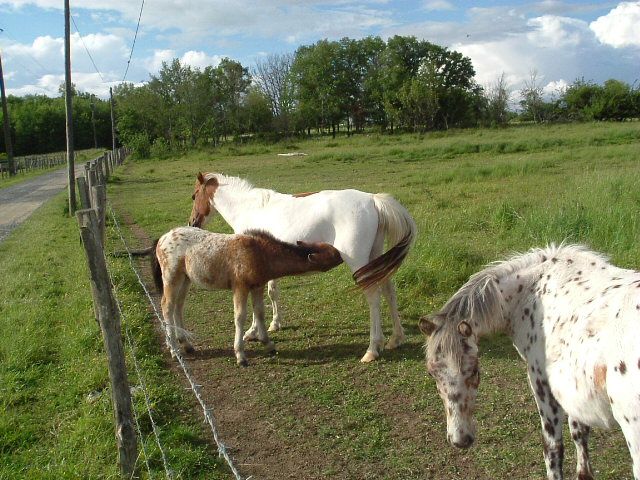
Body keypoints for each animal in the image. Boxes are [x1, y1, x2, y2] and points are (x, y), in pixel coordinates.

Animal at [150, 227, 342, 366]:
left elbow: (260, 313)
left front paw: (268, 344)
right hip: (171, 277)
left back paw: (185, 344)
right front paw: (241, 355)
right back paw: (174, 349)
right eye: (333, 253)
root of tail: (161, 239)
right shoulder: (240, 286)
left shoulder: (257, 286)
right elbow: (240, 316)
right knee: (167, 305)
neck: (261, 254)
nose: (342, 255)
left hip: (186, 279)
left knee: (178, 305)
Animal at [188, 171, 418, 362]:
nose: (192, 222)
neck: (251, 208)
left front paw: (253, 332)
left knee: (373, 296)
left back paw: (372, 349)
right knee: (389, 290)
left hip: (359, 262)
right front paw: (273, 324)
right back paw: (396, 338)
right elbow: (271, 293)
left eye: (194, 195)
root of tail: (372, 200)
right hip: (376, 257)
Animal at [418, 246, 640, 478]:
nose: (460, 439)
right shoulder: (573, 391)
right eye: (431, 373)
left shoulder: (542, 385)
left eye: (474, 371)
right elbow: (579, 435)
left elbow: (552, 449)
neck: (532, 292)